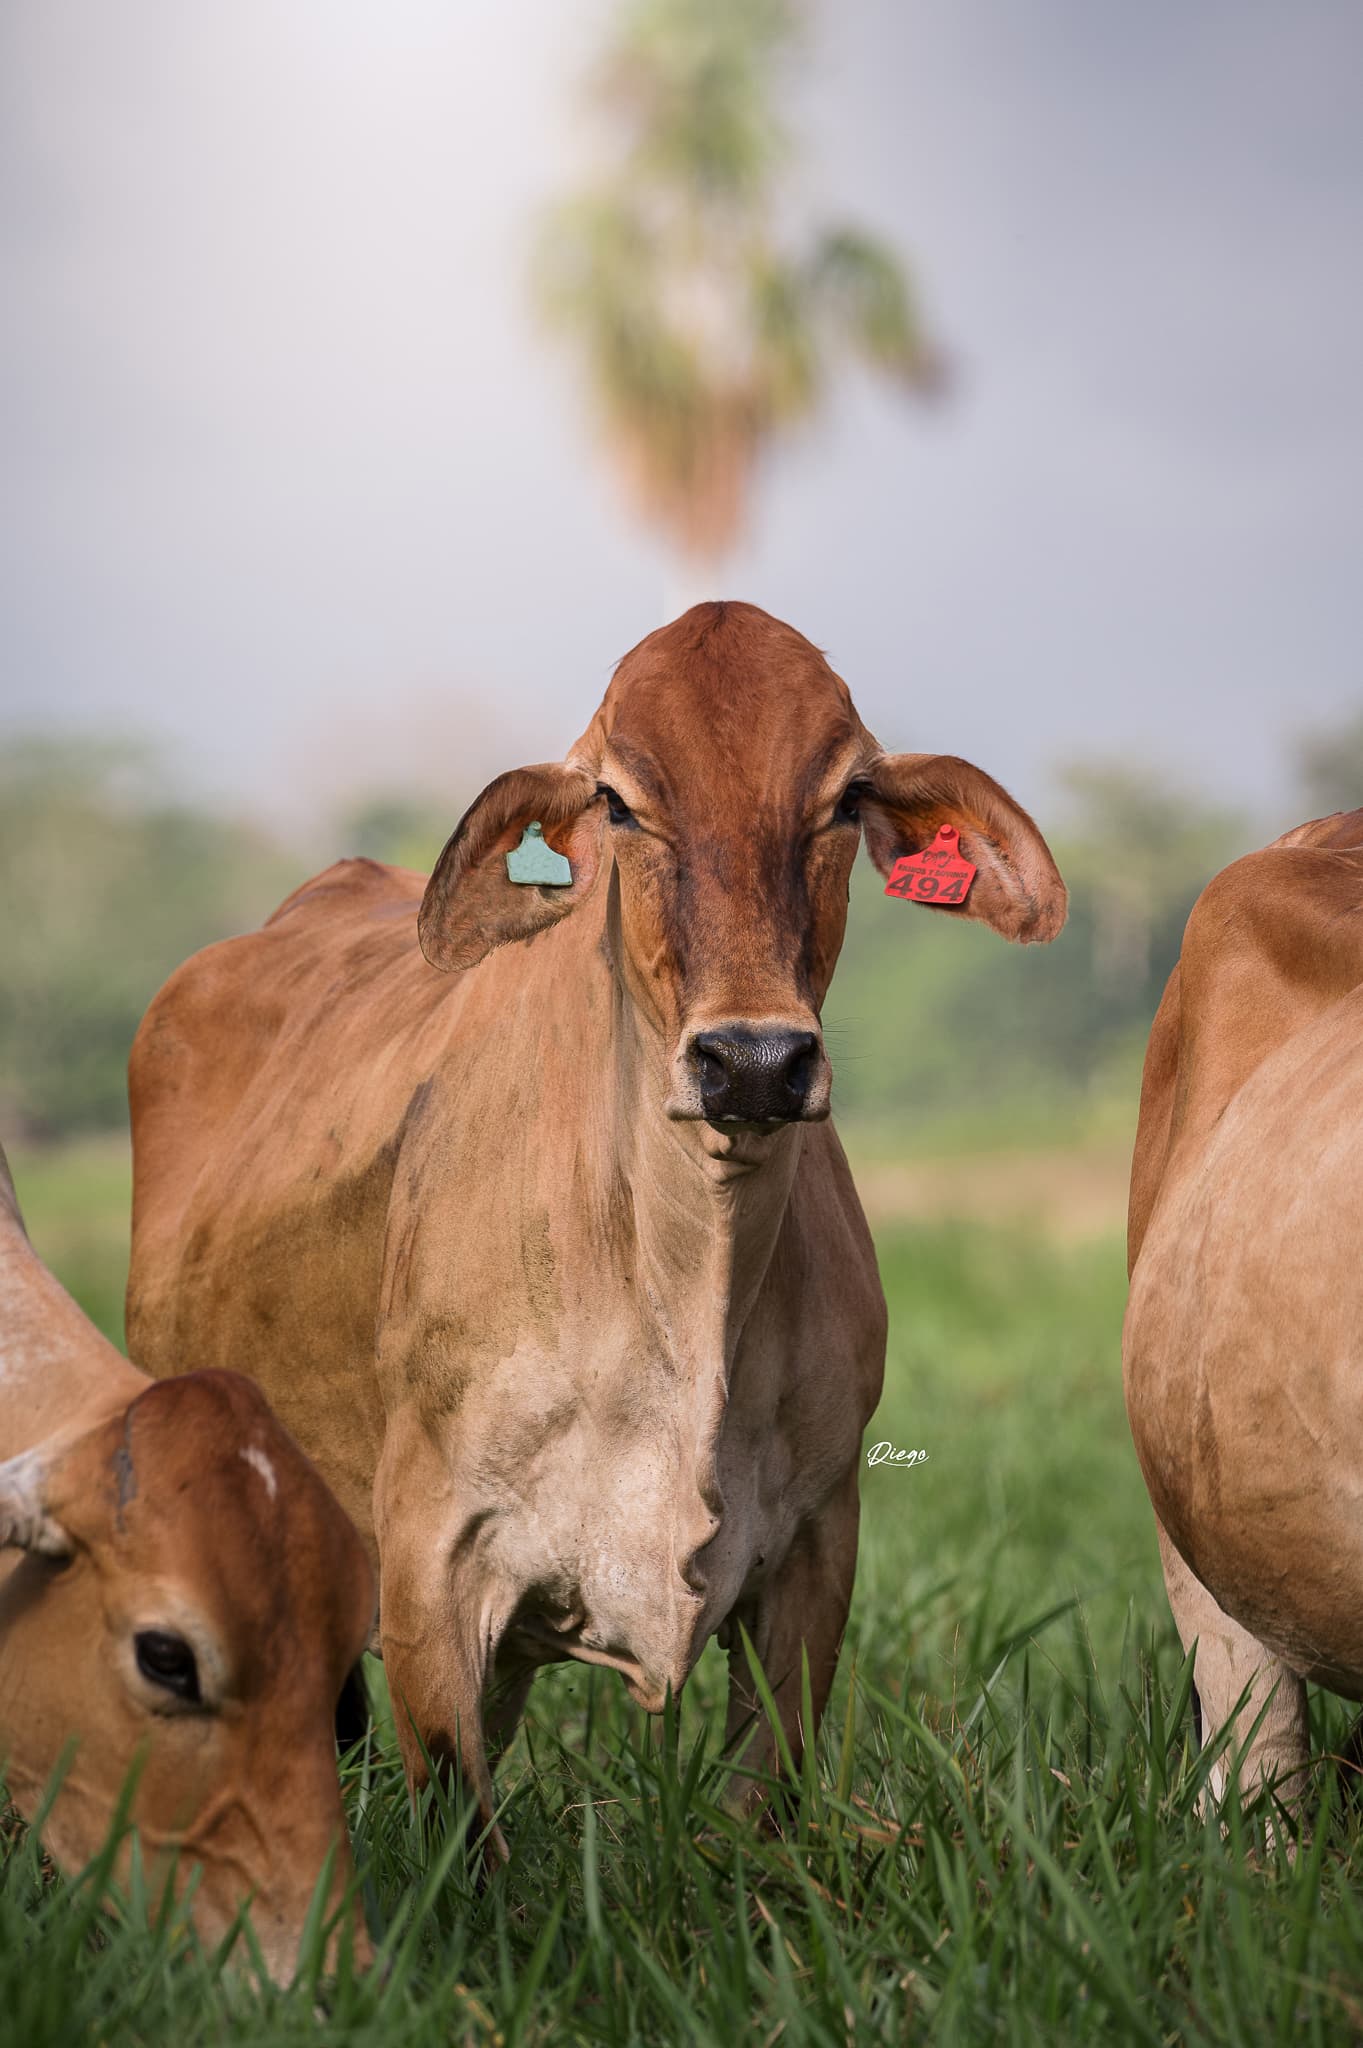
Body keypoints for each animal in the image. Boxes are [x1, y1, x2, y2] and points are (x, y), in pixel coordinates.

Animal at [126, 601, 1067, 1840]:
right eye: (618, 800)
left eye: (844, 797)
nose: (752, 1060)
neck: (687, 1295)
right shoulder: (432, 1561)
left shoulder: (817, 1550)